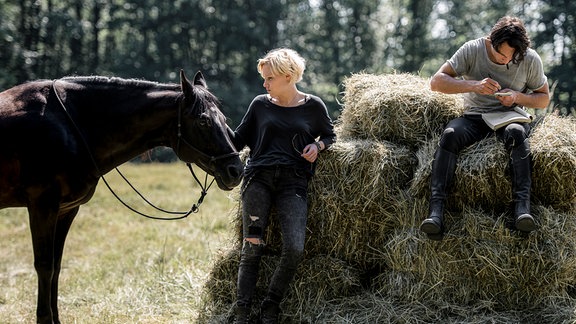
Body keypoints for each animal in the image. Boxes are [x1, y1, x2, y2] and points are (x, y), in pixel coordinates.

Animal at [0, 69, 242, 322]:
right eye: (203, 120)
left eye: (223, 119)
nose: (236, 170)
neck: (71, 125)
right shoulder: (42, 207)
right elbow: (45, 266)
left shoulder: (66, 210)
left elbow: (56, 266)